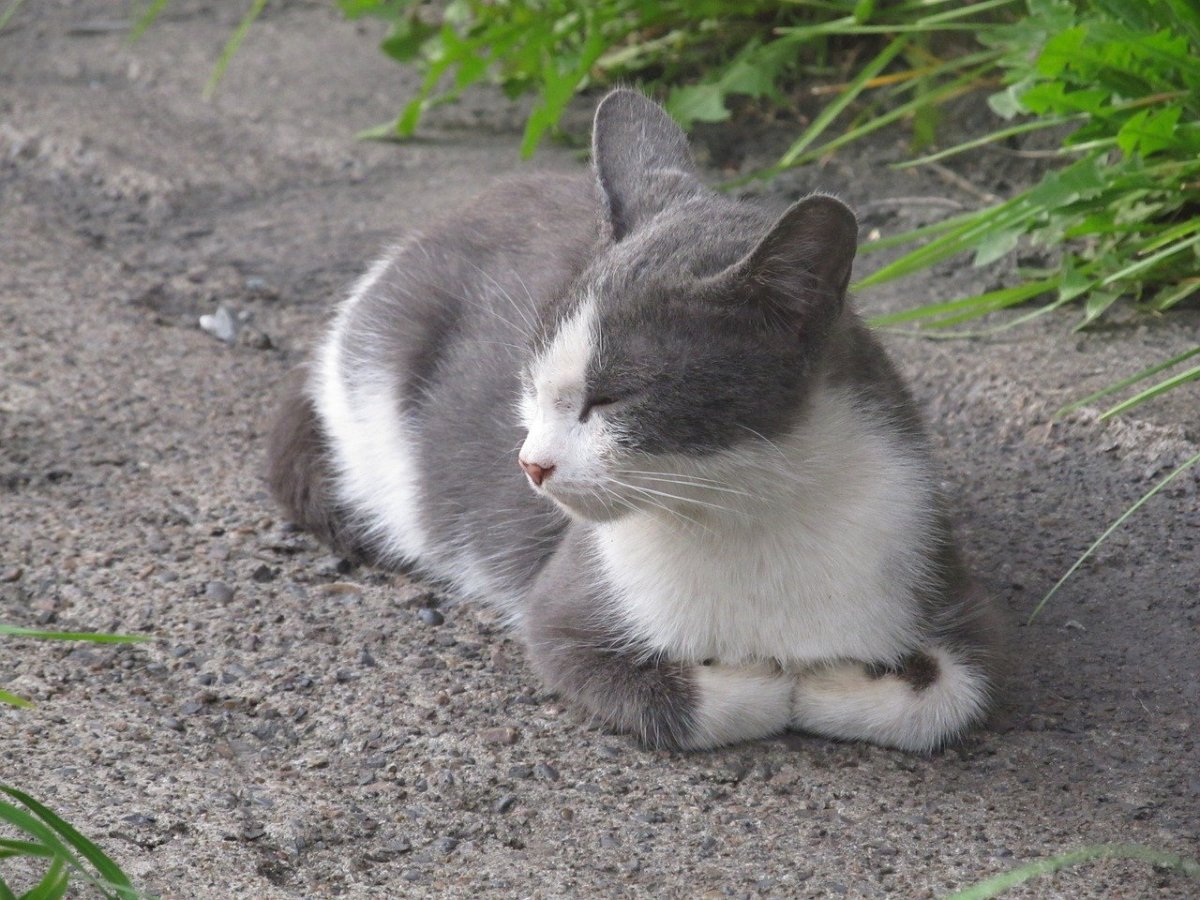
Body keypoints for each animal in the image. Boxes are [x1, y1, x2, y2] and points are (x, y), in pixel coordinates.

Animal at [267, 90, 998, 753]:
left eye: (613, 398)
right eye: (531, 383)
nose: (531, 464)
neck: (748, 511)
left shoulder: (931, 561)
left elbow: (953, 692)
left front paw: (827, 683)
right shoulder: (564, 609)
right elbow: (691, 695)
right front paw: (766, 682)